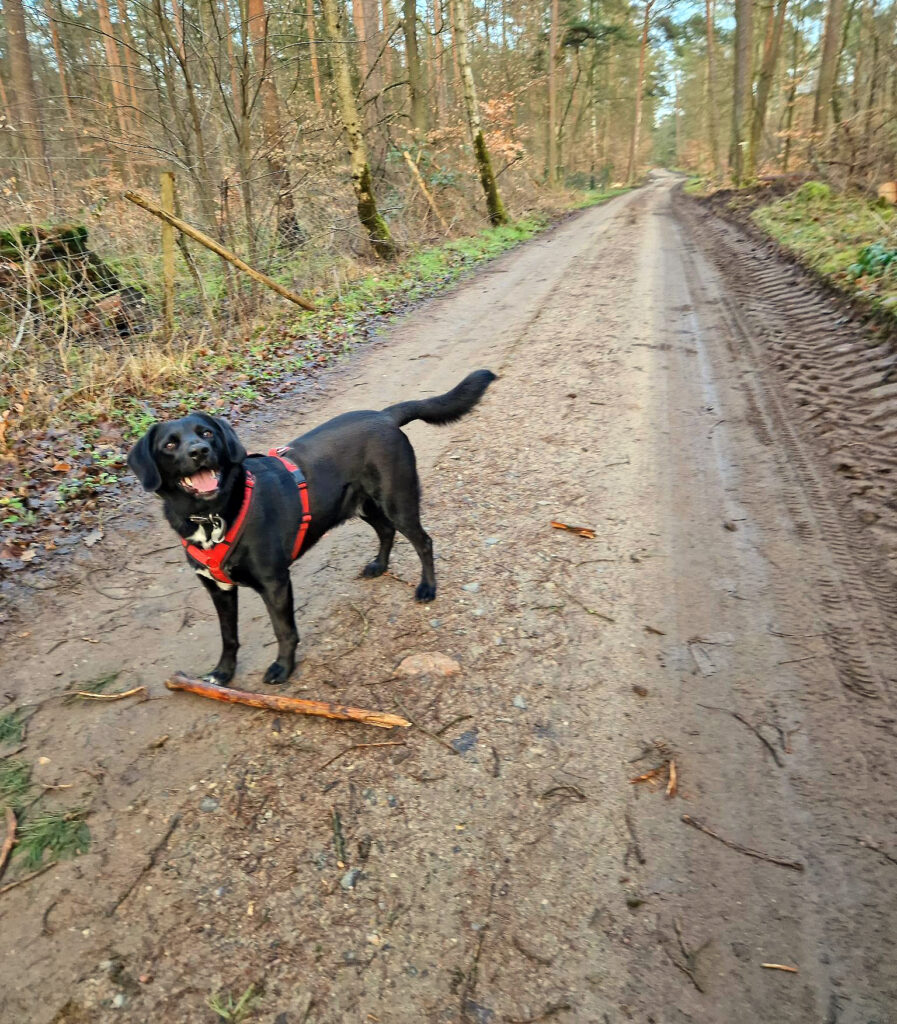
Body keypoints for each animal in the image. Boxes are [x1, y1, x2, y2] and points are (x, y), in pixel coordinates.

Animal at [126, 372, 497, 684]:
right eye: (170, 444)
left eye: (207, 433)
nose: (200, 451)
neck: (210, 515)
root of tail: (384, 416)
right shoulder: (219, 589)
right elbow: (228, 636)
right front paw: (223, 673)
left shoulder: (275, 583)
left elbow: (284, 631)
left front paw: (283, 668)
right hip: (361, 505)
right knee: (385, 531)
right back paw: (379, 565)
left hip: (397, 502)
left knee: (423, 541)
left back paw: (427, 587)